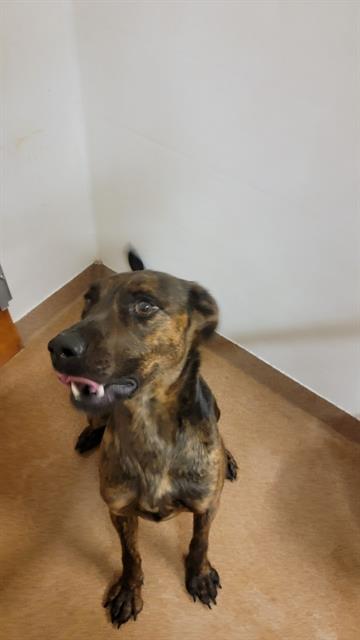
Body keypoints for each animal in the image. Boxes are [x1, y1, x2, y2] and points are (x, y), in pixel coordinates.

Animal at [48, 251, 239, 632]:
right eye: (88, 300)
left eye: (145, 305)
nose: (58, 348)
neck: (150, 424)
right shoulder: (119, 510)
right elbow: (130, 555)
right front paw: (127, 590)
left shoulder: (207, 506)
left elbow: (200, 541)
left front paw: (199, 576)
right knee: (95, 420)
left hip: (216, 408)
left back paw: (228, 459)